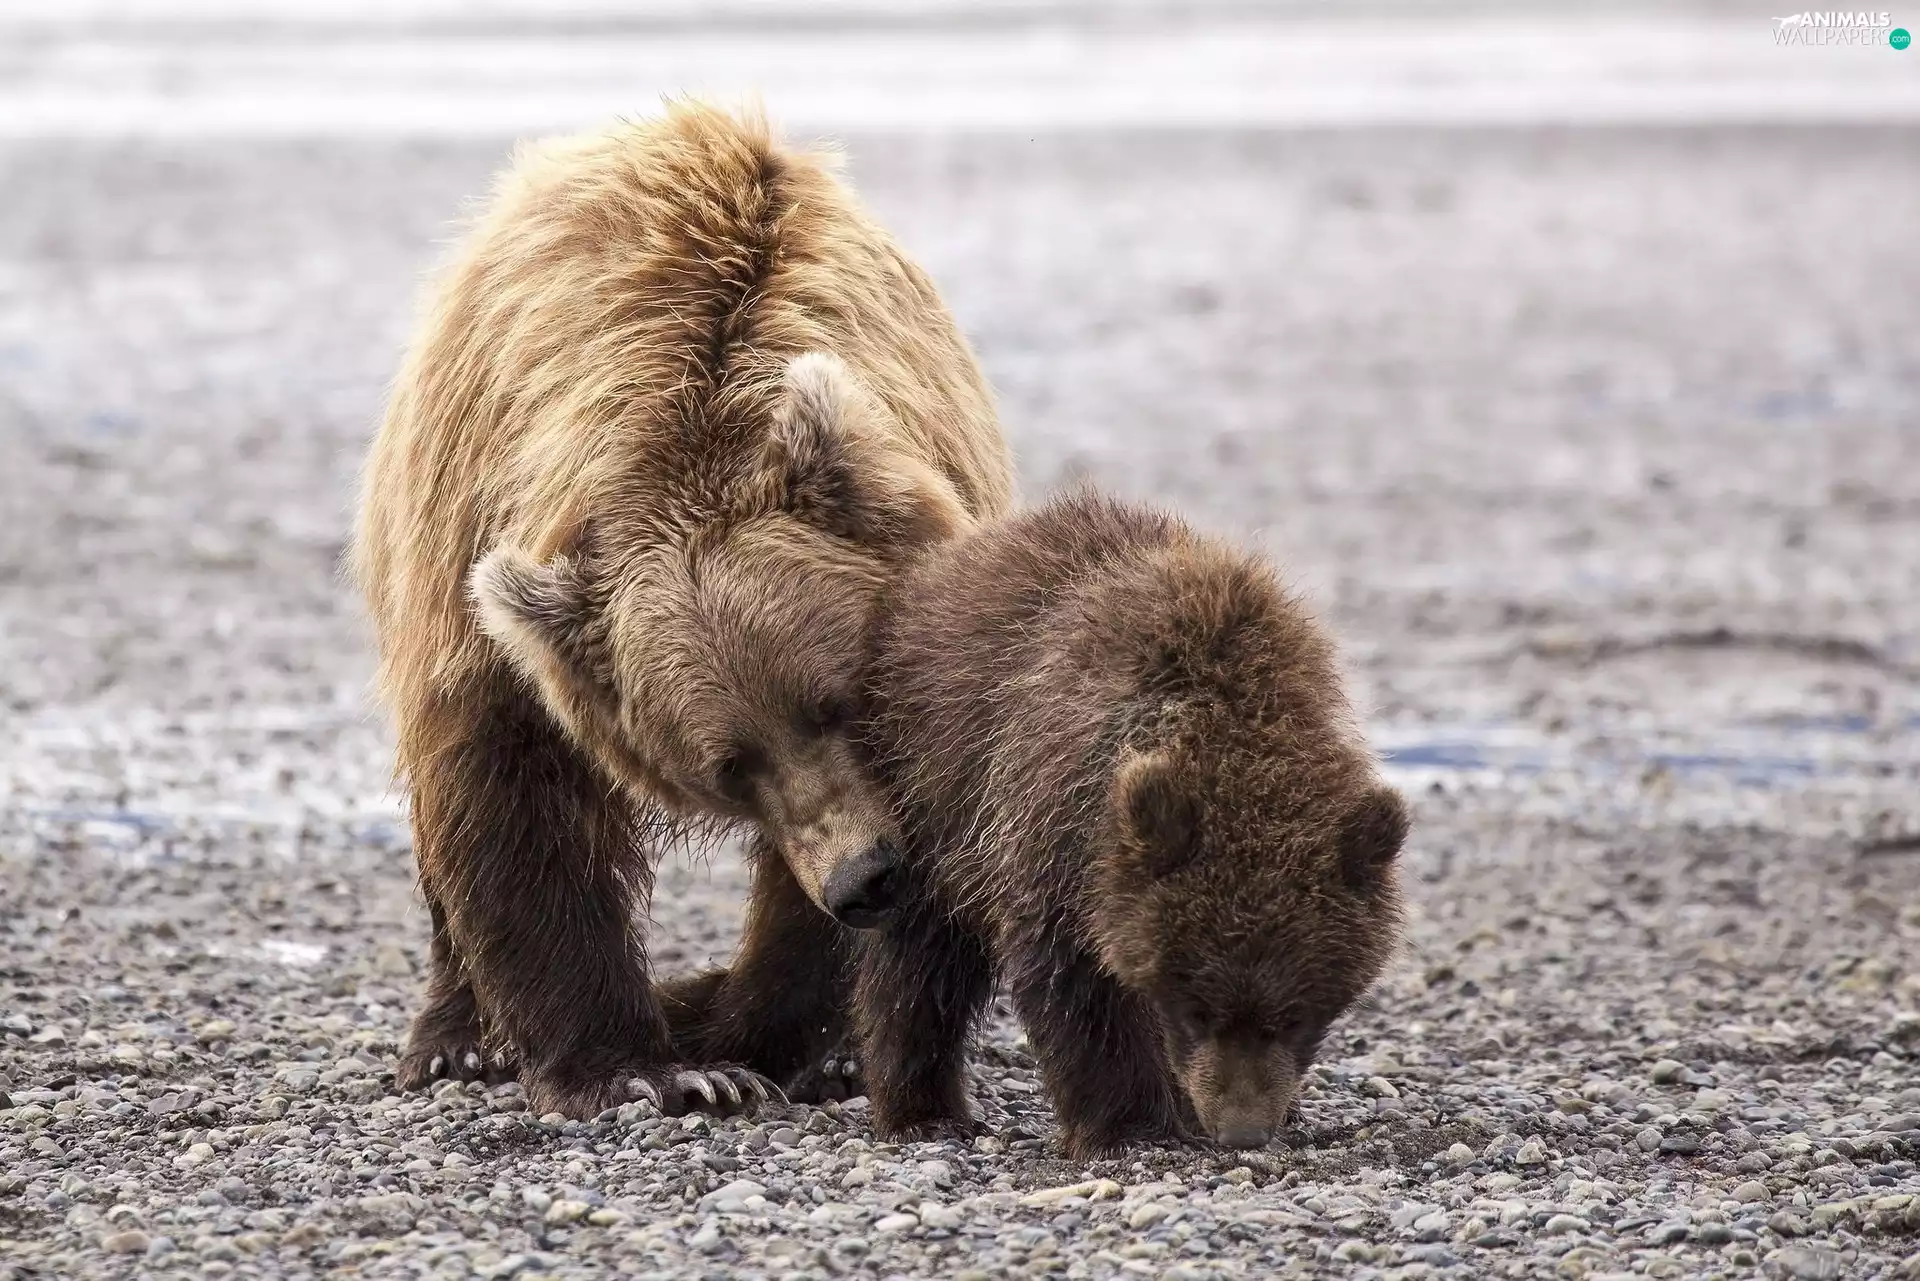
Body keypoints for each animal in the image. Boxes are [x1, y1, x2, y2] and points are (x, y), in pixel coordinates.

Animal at [351, 102, 1013, 1119]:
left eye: (837, 701)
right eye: (728, 763)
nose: (865, 879)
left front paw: (755, 1034)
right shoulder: (498, 582)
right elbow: (517, 799)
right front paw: (655, 1066)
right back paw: (456, 1039)